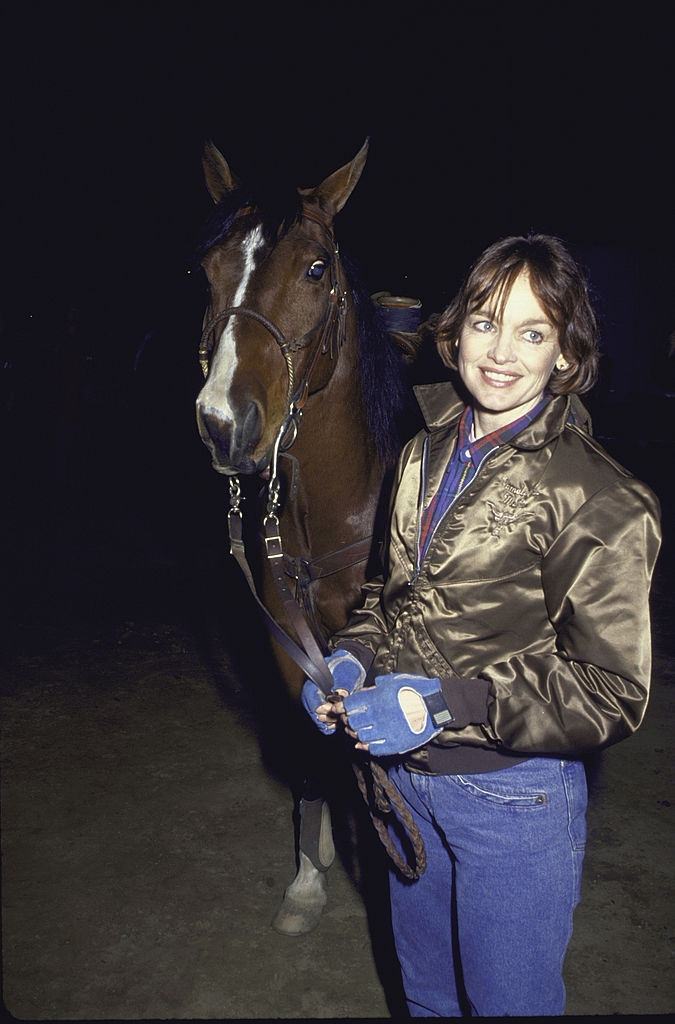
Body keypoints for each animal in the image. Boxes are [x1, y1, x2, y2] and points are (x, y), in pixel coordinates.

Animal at [193, 144, 417, 937]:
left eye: (317, 269)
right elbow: (309, 750)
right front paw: (307, 881)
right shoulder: (289, 645)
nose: (223, 423)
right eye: (207, 267)